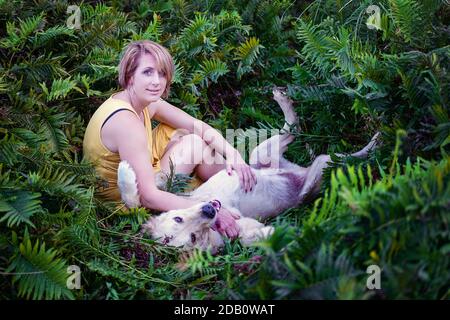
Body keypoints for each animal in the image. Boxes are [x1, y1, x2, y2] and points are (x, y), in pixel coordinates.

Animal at [117, 88, 380, 252]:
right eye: (193, 237)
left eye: (178, 217)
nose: (209, 210)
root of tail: (300, 171)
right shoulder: (246, 231)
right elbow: (269, 236)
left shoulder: (170, 189)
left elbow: (145, 191)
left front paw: (125, 173)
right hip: (321, 170)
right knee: (339, 158)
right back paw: (375, 144)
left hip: (259, 156)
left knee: (293, 129)